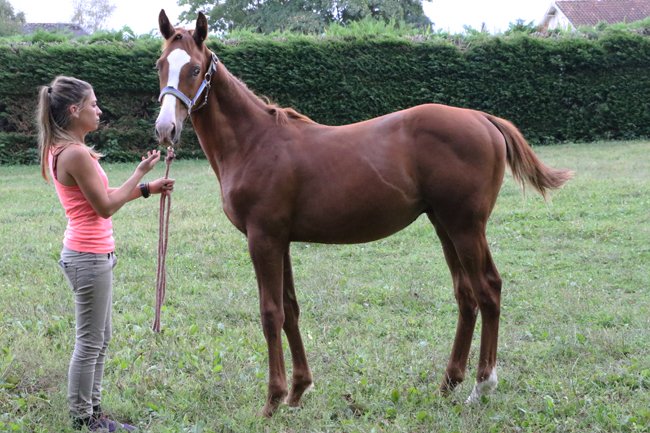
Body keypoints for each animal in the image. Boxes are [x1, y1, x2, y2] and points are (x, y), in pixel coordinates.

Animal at [153, 10, 573, 417]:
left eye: (194, 68)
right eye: (160, 64)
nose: (165, 128)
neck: (255, 142)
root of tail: (483, 118)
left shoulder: (263, 238)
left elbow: (271, 313)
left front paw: (273, 399)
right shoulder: (281, 240)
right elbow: (291, 309)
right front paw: (298, 390)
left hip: (466, 226)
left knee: (488, 289)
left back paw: (481, 386)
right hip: (445, 225)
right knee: (466, 295)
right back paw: (449, 383)